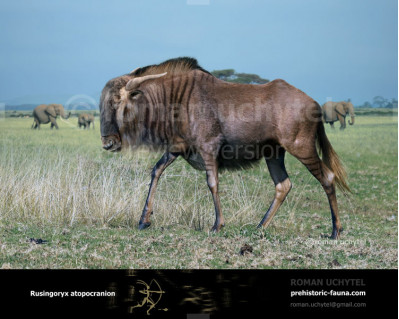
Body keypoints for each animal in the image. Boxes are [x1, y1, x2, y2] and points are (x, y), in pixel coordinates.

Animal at [100, 57, 350, 239]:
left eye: (116, 102)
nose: (108, 142)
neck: (177, 97)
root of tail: (314, 103)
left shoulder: (208, 148)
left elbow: (212, 183)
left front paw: (217, 225)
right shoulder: (177, 146)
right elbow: (156, 171)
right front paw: (144, 220)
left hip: (302, 148)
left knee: (327, 177)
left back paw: (335, 231)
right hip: (274, 153)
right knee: (283, 185)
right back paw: (260, 226)